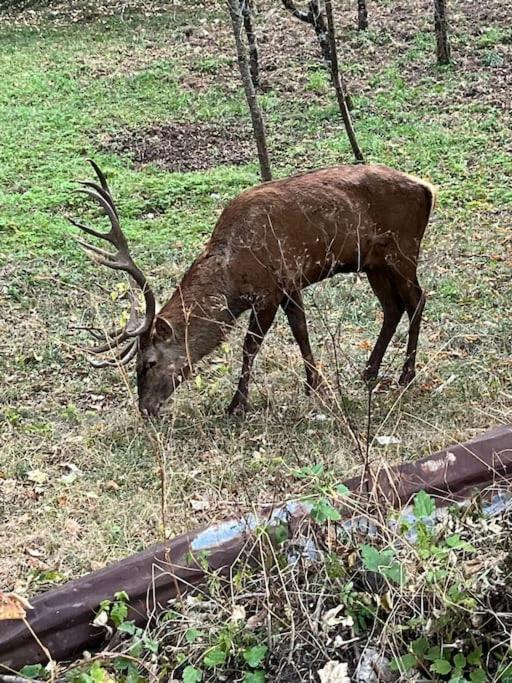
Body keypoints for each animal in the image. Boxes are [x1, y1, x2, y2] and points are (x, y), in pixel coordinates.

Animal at [70, 161, 434, 416]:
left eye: (148, 363)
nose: (145, 409)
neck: (232, 275)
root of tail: (427, 189)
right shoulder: (290, 283)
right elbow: (301, 331)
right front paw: (314, 385)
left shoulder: (269, 290)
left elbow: (250, 346)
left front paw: (237, 405)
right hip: (374, 262)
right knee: (392, 307)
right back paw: (369, 372)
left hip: (402, 248)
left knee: (417, 298)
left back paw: (406, 374)